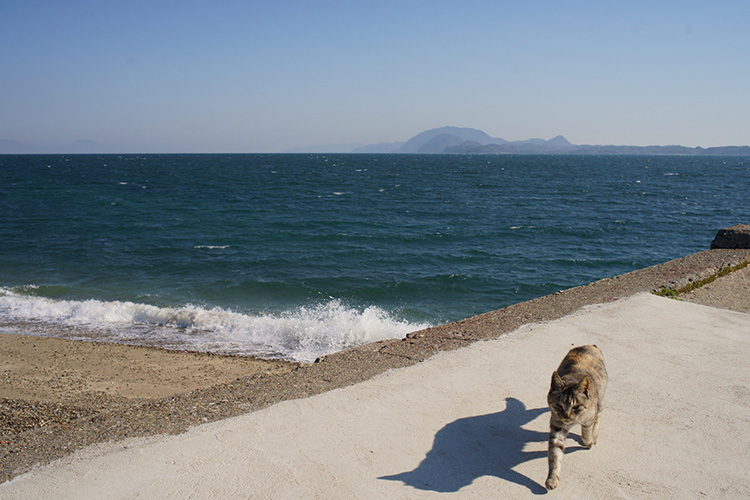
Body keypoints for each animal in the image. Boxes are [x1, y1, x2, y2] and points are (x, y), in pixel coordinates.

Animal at [548, 346, 612, 490]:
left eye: (575, 407)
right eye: (559, 405)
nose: (566, 416)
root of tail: (590, 345)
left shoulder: (588, 420)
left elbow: (586, 433)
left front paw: (589, 442)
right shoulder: (557, 427)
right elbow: (555, 455)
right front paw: (552, 479)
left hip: (600, 400)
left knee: (598, 417)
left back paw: (594, 436)